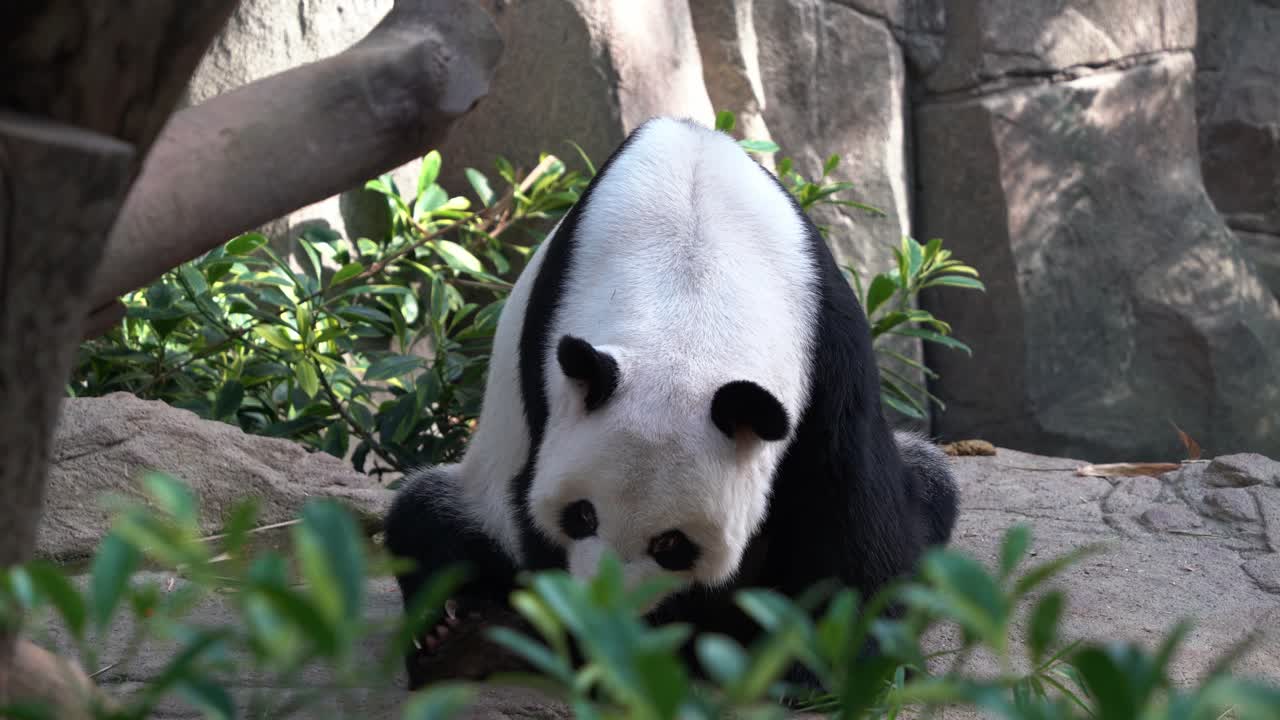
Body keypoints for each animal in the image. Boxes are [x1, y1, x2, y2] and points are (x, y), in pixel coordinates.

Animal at [384, 116, 958, 690]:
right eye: (582, 515)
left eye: (671, 545)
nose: (603, 609)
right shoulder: (547, 369)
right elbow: (529, 512)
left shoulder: (828, 347)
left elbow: (850, 504)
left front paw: (813, 666)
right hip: (479, 496)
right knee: (428, 524)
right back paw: (459, 638)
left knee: (933, 489)